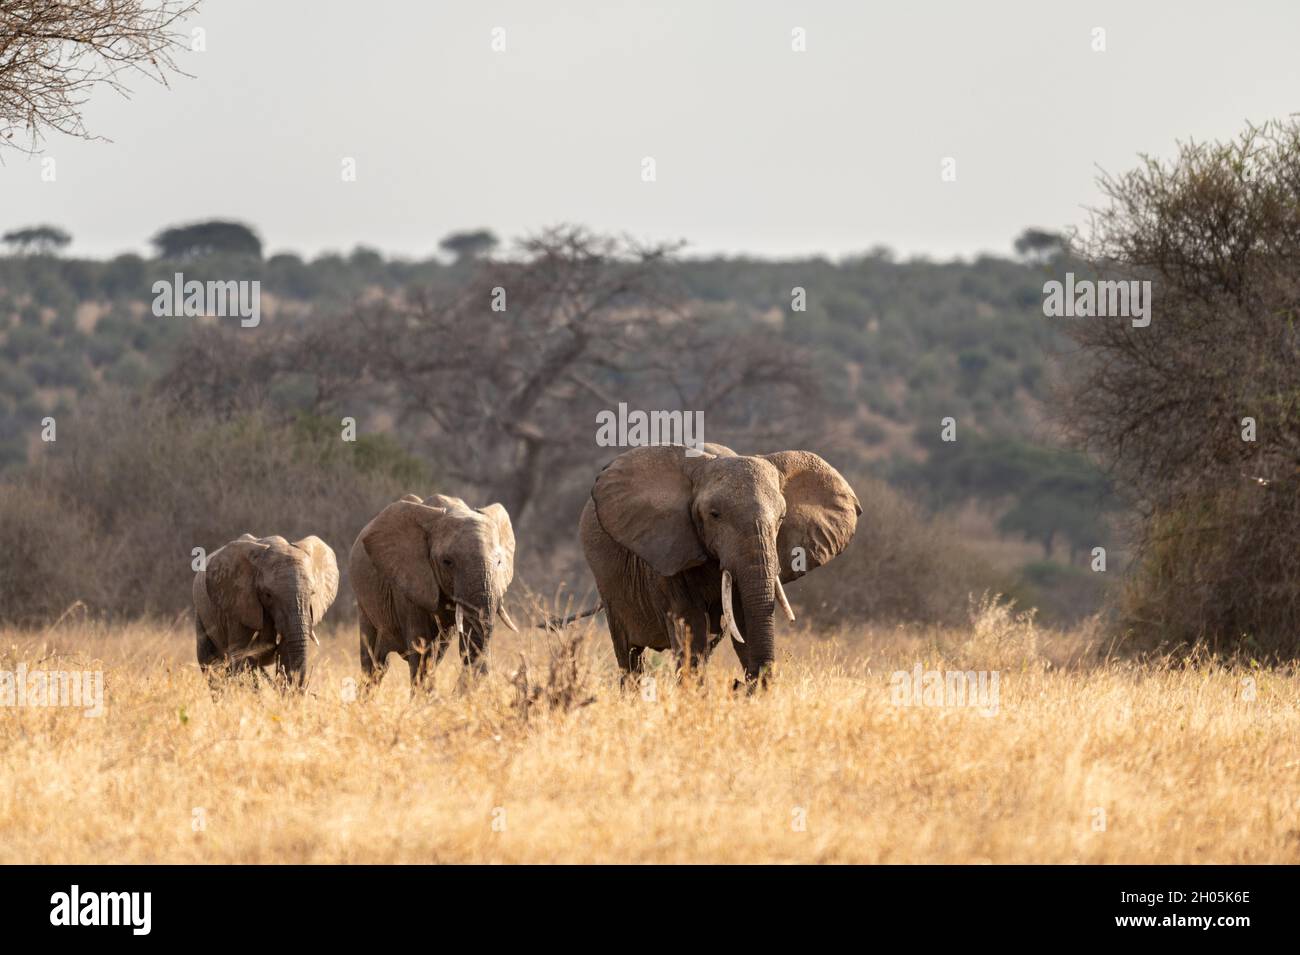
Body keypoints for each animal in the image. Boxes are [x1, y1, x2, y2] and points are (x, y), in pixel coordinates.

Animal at [193, 537, 340, 686]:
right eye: (268, 595)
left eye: (312, 593)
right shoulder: (238, 606)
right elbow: (240, 656)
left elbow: (286, 656)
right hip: (201, 614)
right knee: (210, 663)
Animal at [356, 496, 522, 691]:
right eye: (447, 562)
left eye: (499, 562)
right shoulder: (408, 582)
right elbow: (421, 648)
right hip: (364, 605)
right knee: (374, 663)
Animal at [579, 444, 852, 686]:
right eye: (714, 515)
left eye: (782, 518)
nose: (738, 685)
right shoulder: (669, 548)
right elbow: (691, 627)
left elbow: (744, 623)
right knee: (629, 654)